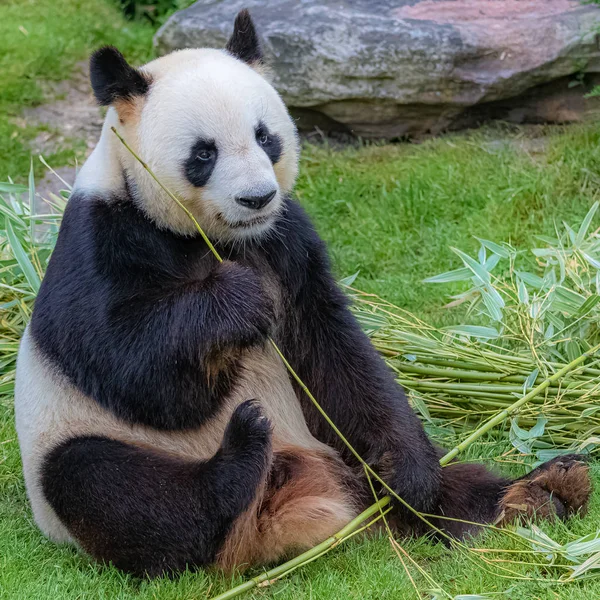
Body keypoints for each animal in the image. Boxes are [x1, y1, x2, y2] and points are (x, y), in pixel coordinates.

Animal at [14, 8, 592, 576]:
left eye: (265, 136)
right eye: (203, 154)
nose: (257, 198)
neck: (220, 238)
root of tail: (285, 509)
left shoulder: (285, 239)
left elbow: (332, 349)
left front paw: (409, 471)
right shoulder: (102, 238)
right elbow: (134, 370)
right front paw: (235, 300)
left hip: (340, 454)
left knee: (448, 487)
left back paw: (539, 492)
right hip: (77, 449)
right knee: (111, 487)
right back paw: (240, 455)